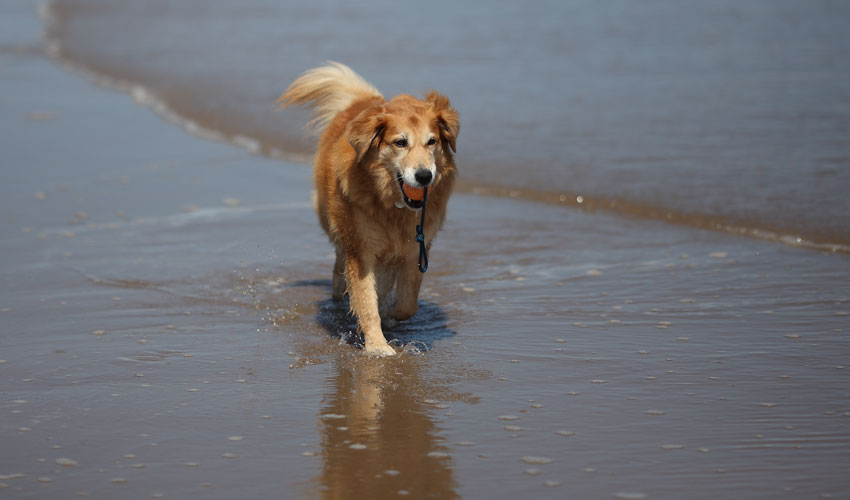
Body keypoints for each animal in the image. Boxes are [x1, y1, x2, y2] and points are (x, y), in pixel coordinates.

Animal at [278, 62, 458, 356]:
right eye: (400, 142)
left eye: (432, 141)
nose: (424, 176)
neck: (392, 205)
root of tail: (364, 101)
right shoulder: (361, 249)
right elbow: (366, 299)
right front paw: (377, 346)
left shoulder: (416, 247)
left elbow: (407, 302)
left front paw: (390, 314)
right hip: (334, 220)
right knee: (339, 260)